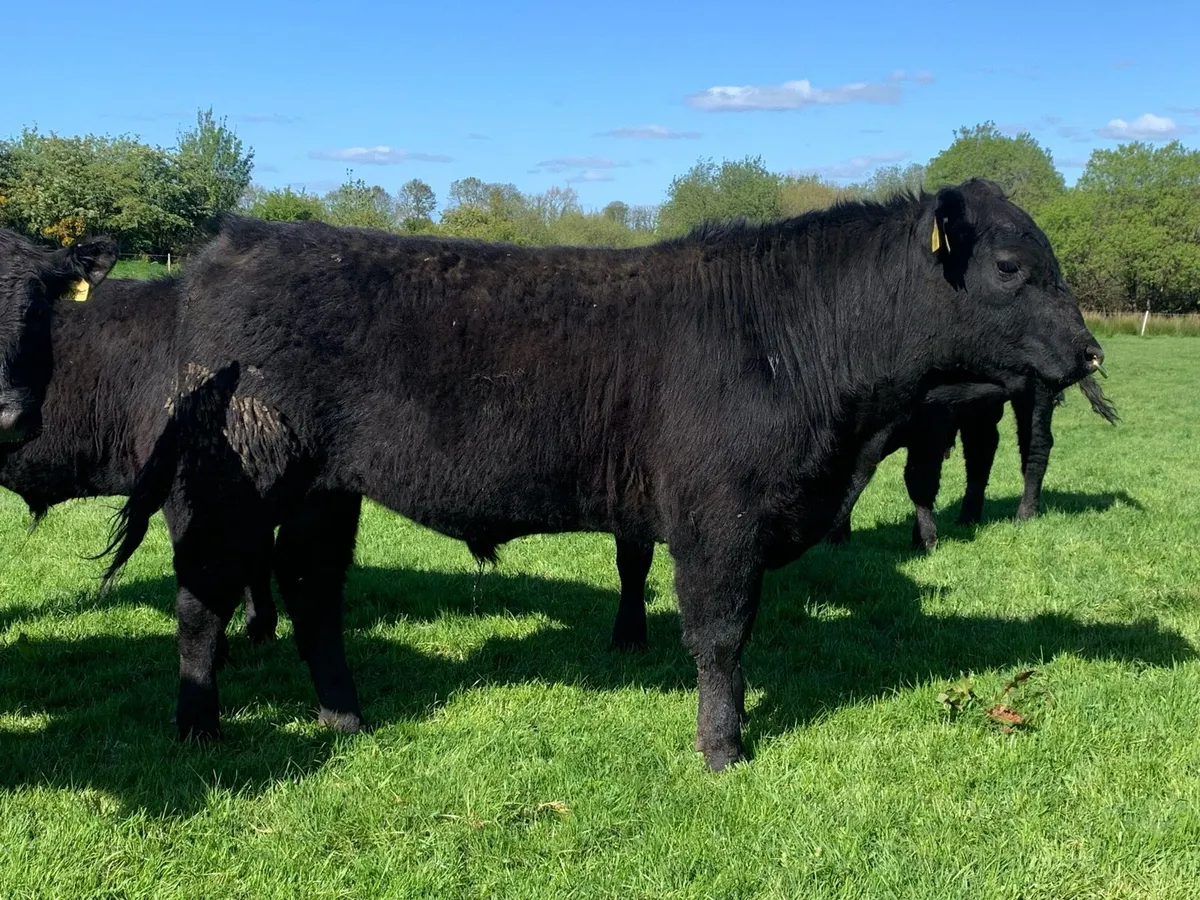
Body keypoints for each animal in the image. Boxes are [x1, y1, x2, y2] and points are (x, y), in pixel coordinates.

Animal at [101, 178, 1104, 771]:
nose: (1091, 348)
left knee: (312, 594)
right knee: (204, 597)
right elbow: (721, 637)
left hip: (324, 491)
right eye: (1010, 265)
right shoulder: (717, 522)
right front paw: (722, 749)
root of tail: (235, 242)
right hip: (235, 482)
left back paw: (344, 719)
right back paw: (199, 729)